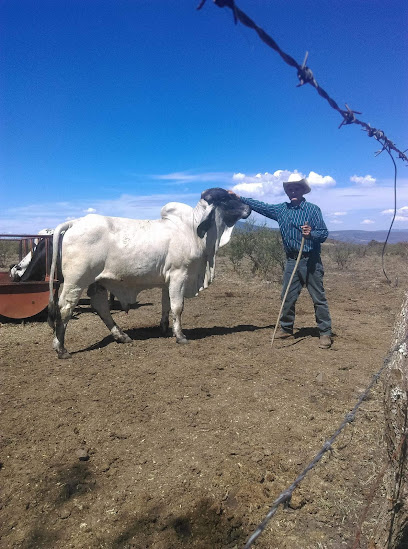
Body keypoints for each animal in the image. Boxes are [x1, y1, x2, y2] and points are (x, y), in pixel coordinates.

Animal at [48, 187, 252, 360]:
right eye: (225, 199)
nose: (248, 208)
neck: (193, 231)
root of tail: (74, 222)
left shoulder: (167, 281)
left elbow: (166, 305)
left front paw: (164, 328)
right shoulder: (179, 275)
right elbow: (177, 307)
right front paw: (180, 336)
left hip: (96, 282)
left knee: (101, 307)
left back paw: (121, 336)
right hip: (76, 281)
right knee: (65, 308)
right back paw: (61, 349)